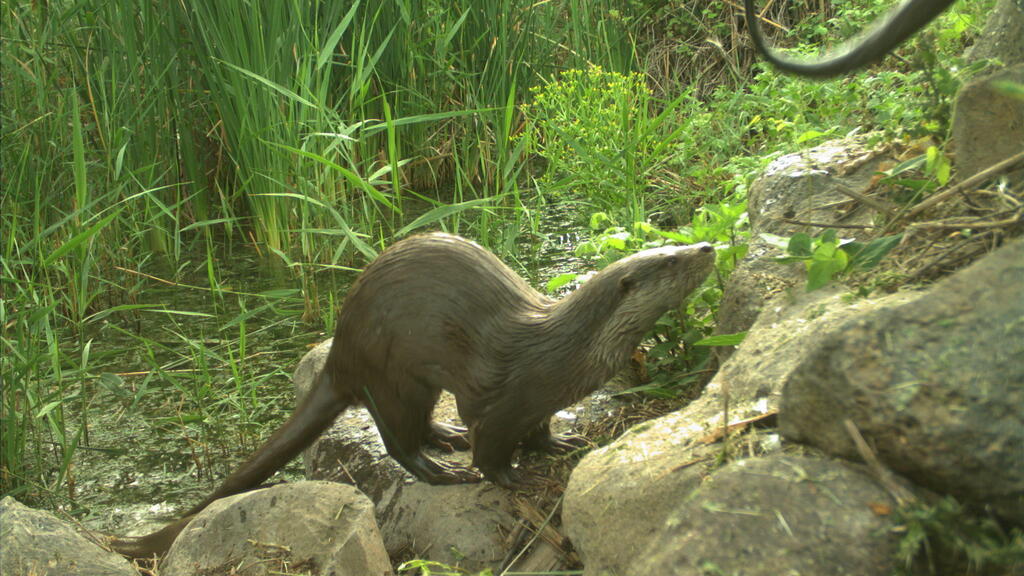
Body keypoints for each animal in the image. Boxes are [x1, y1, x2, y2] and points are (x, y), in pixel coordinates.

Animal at [109, 232, 715, 557]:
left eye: (677, 243)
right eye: (671, 262)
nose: (708, 245)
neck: (562, 354)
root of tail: (341, 352)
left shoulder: (540, 401)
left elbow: (540, 429)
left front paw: (557, 445)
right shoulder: (503, 402)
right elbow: (492, 447)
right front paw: (509, 476)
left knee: (420, 425)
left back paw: (444, 436)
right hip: (391, 375)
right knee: (397, 441)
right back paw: (441, 470)